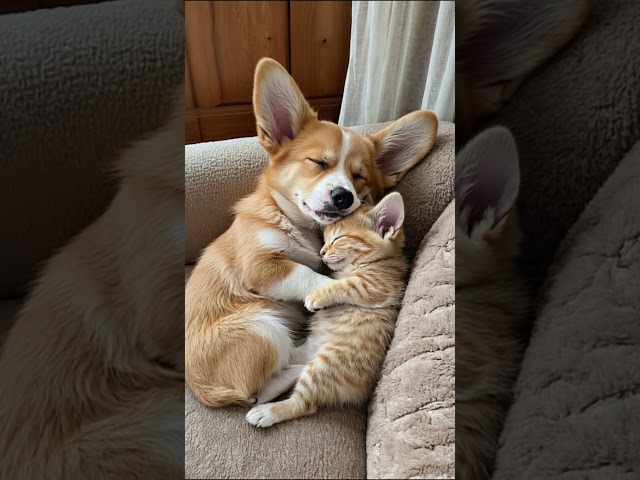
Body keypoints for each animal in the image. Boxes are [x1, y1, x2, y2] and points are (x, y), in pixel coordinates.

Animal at [245, 192, 404, 428]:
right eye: (325, 240)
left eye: (338, 239)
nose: (321, 252)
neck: (382, 261)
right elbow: (332, 280)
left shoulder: (377, 285)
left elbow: (344, 285)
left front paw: (316, 297)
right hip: (302, 351)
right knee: (293, 366)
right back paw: (265, 391)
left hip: (326, 363)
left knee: (302, 403)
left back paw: (266, 411)